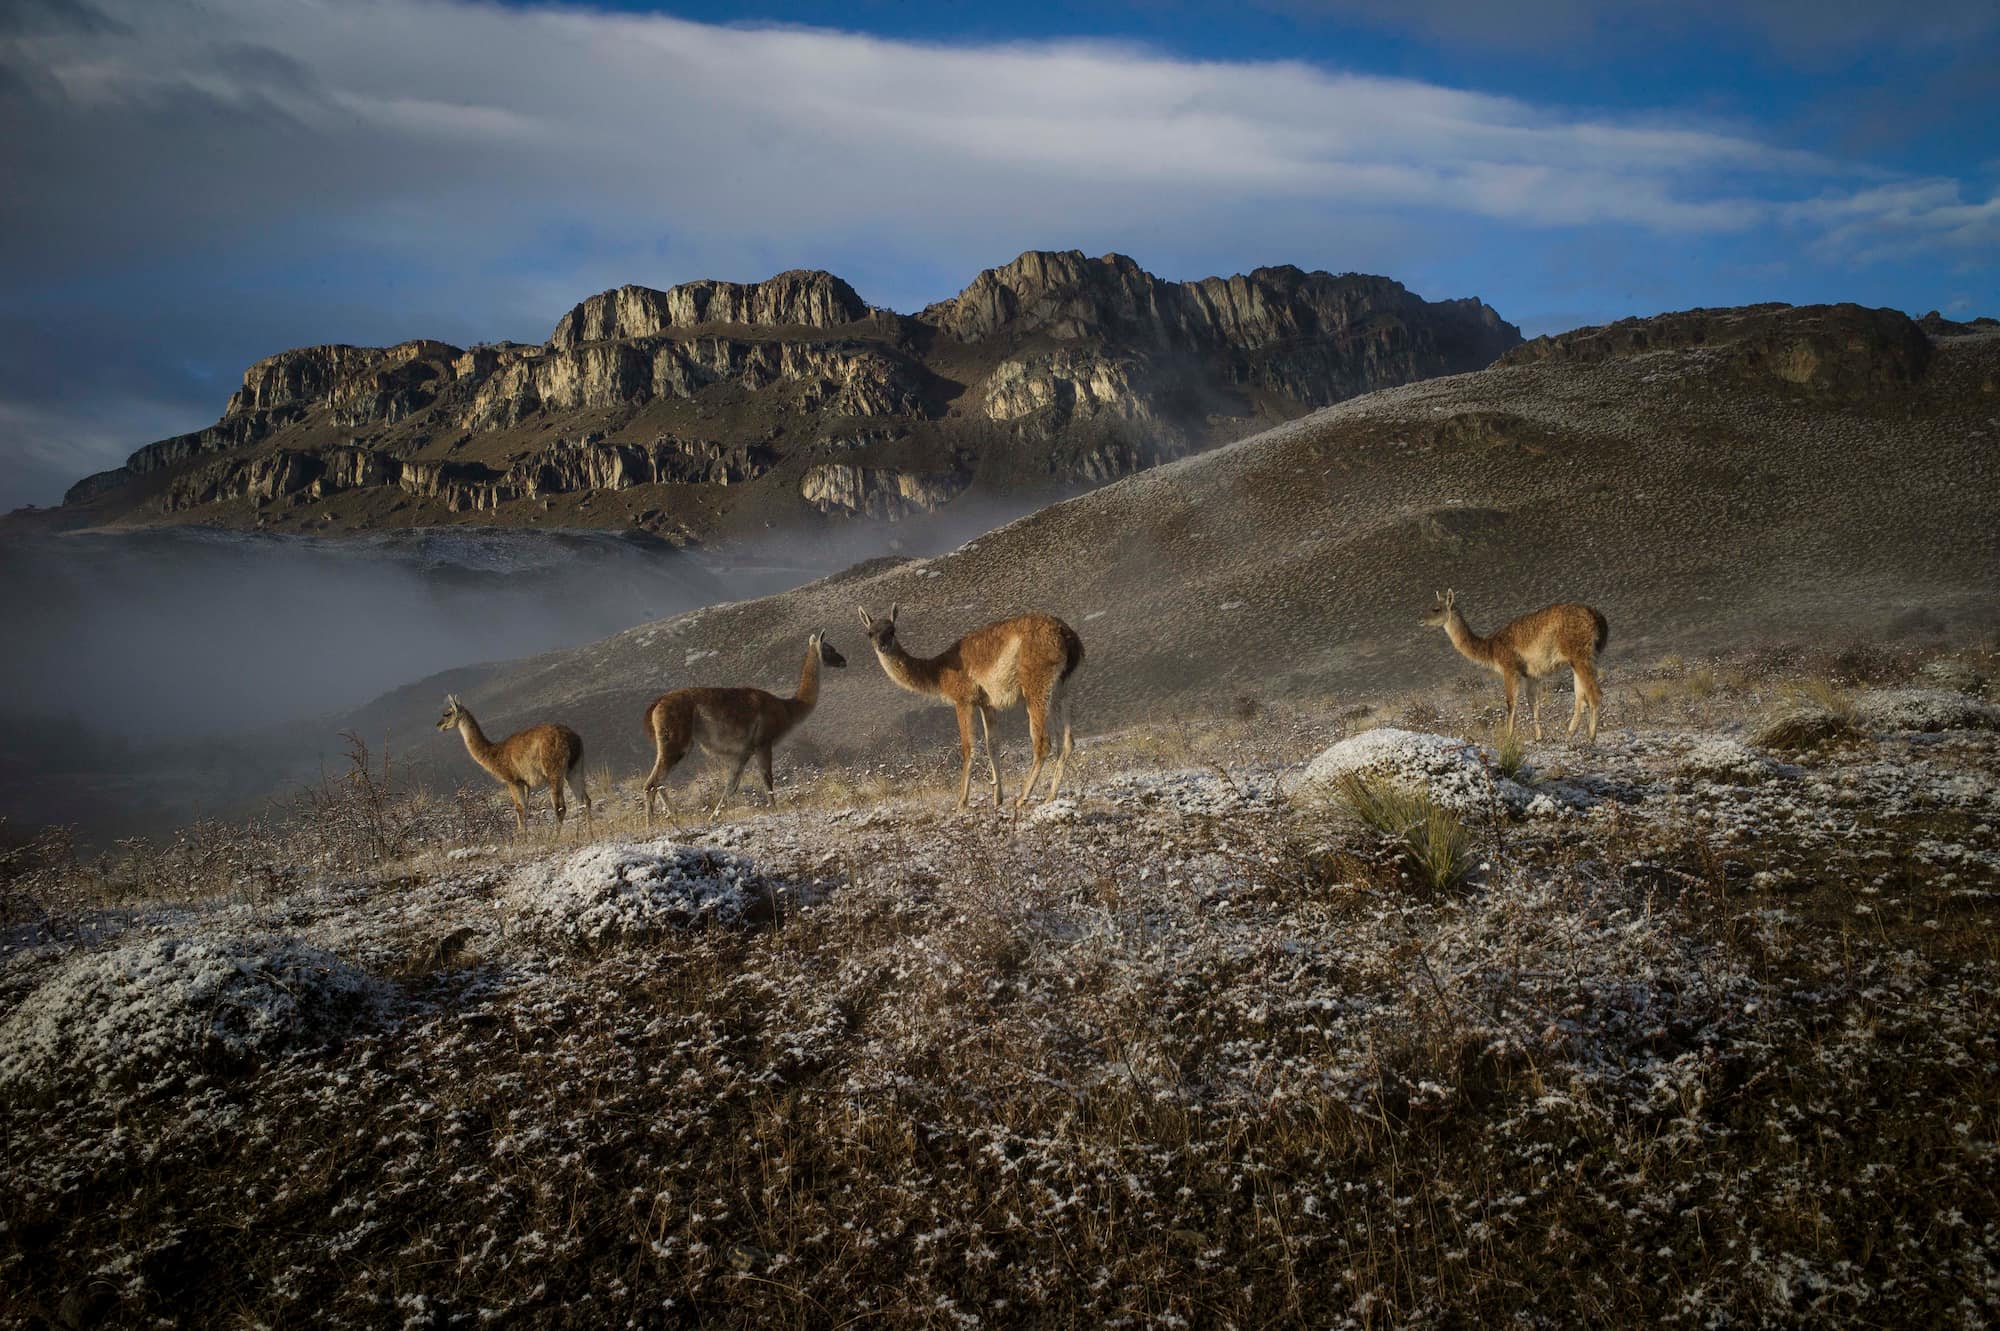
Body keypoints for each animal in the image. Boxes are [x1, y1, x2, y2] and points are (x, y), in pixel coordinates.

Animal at [435, 694, 591, 834]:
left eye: (447, 713)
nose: (438, 725)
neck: (494, 753)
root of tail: (572, 738)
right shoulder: (524, 782)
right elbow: (525, 809)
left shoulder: (511, 780)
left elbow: (519, 809)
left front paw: (521, 840)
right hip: (574, 767)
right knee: (584, 801)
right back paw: (588, 834)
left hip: (554, 770)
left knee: (561, 808)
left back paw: (555, 838)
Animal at [642, 631, 847, 824]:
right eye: (829, 649)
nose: (843, 660)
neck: (787, 708)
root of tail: (657, 703)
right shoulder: (763, 743)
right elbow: (767, 780)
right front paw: (775, 810)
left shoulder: (743, 752)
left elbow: (730, 787)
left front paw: (713, 817)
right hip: (676, 741)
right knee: (651, 783)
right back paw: (651, 825)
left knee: (659, 782)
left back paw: (675, 816)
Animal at [856, 604, 1084, 811]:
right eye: (870, 633)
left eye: (892, 631)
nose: (882, 646)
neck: (939, 671)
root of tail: (1066, 634)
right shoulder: (986, 703)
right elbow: (993, 745)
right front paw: (997, 798)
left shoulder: (963, 700)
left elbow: (968, 747)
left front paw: (962, 802)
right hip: (1062, 689)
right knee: (1067, 741)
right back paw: (1050, 797)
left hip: (1036, 686)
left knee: (1042, 742)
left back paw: (1022, 799)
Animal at [1420, 589, 1608, 742]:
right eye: (1428, 605)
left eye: (1436, 609)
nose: (1420, 619)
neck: (1491, 647)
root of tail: (1596, 616)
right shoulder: (1532, 674)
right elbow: (1533, 703)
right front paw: (1538, 737)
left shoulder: (1510, 668)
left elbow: (1511, 702)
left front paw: (1508, 736)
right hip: (1582, 659)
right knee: (1580, 698)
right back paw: (1570, 733)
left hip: (1580, 656)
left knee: (1595, 694)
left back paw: (1591, 736)